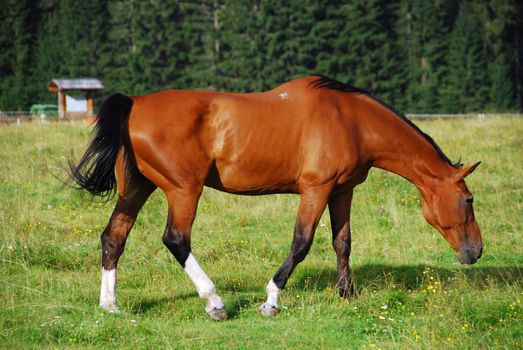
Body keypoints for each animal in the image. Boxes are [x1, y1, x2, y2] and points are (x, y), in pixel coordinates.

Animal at [68, 74, 484, 320]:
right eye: (469, 200)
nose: (476, 252)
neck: (351, 120)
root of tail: (134, 103)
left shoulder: (342, 191)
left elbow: (343, 242)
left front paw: (347, 293)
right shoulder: (315, 190)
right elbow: (301, 243)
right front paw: (271, 299)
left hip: (137, 188)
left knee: (114, 237)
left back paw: (110, 305)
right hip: (183, 190)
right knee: (176, 239)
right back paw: (214, 302)